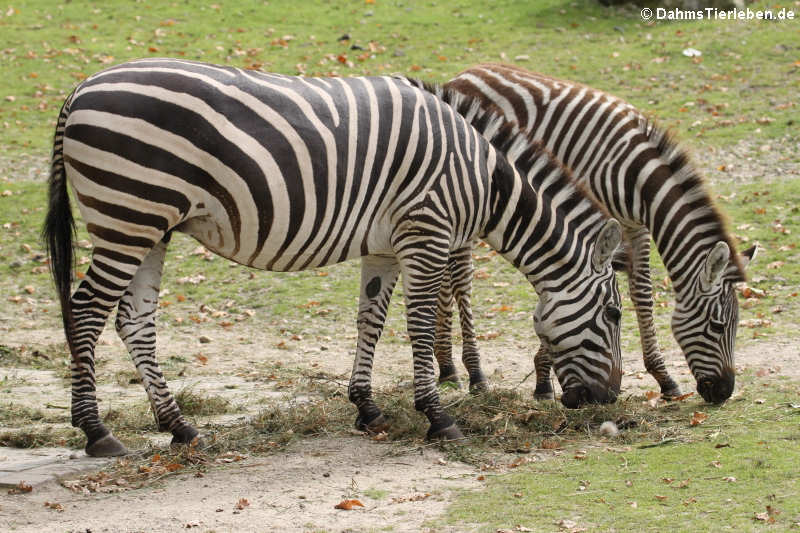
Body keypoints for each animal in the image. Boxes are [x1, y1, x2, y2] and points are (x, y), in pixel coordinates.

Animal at [43, 59, 624, 458]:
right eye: (614, 315)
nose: (610, 399)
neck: (482, 178)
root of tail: (82, 87)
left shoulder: (386, 246)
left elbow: (371, 321)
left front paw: (367, 407)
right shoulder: (426, 232)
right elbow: (417, 325)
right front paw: (439, 417)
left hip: (150, 225)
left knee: (133, 319)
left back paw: (180, 427)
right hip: (129, 212)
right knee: (89, 310)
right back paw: (97, 431)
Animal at [422, 62, 752, 404]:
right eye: (717, 326)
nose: (725, 391)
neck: (633, 175)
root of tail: (465, 74)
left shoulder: (636, 227)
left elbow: (642, 293)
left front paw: (664, 378)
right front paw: (544, 379)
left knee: (446, 274)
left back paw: (446, 366)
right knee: (461, 278)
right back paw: (473, 372)